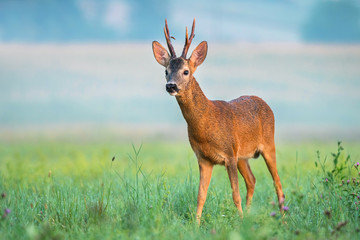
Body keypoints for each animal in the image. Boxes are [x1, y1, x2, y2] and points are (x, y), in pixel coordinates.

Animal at [151, 19, 284, 225]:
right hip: (243, 155)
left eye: (186, 71)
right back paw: (250, 215)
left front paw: (238, 221)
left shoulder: (229, 154)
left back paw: (284, 218)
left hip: (268, 144)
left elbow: (235, 193)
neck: (206, 124)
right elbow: (200, 195)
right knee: (252, 180)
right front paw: (196, 225)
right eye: (166, 71)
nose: (171, 86)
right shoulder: (204, 159)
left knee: (277, 182)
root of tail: (264, 102)